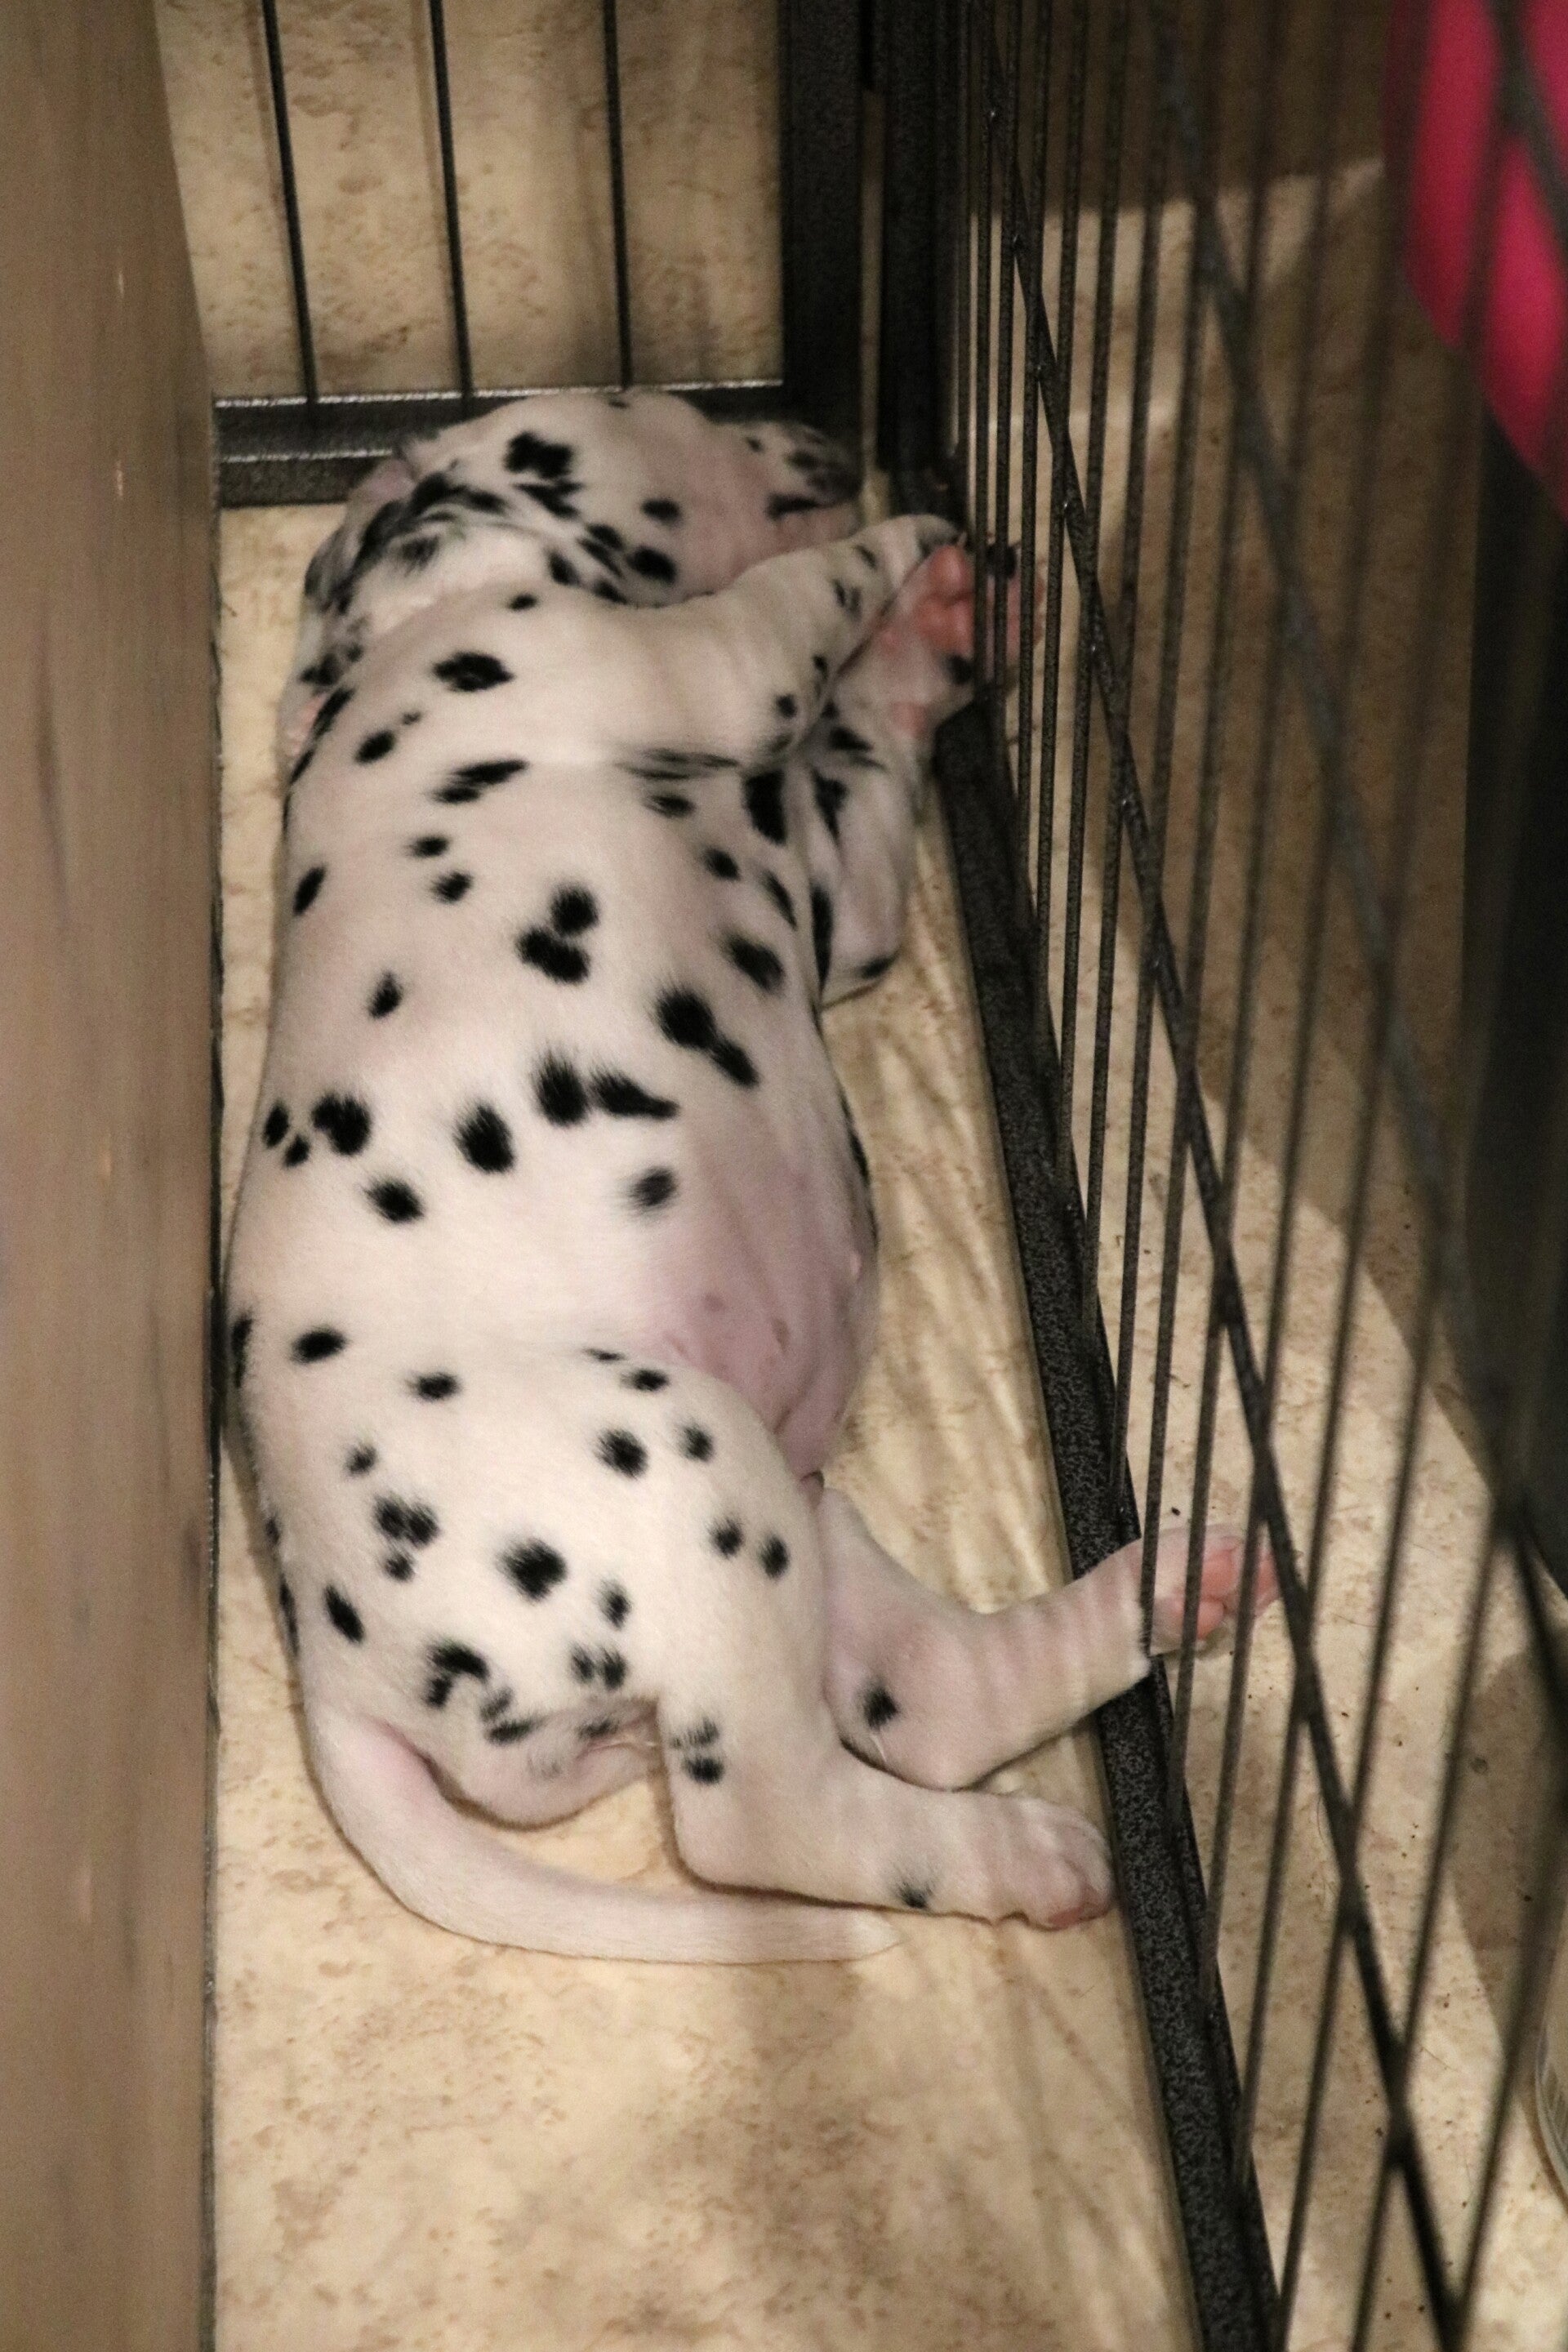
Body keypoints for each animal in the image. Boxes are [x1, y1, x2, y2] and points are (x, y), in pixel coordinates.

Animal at [226, 389, 1270, 1962]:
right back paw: (1019, 1843)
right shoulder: (686, 664)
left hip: (792, 1506)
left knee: (938, 1706)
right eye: (655, 403)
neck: (407, 637)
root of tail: (332, 1680)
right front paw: (912, 549)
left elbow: (862, 762)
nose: (836, 442)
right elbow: (795, 602)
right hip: (687, 1470)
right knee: (763, 1820)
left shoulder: (840, 884)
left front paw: (939, 627)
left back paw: (1163, 1603)